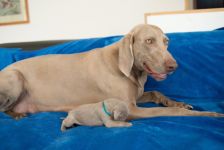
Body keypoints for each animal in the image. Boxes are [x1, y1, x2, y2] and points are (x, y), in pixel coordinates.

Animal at [0, 24, 223, 120]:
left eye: (166, 41)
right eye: (149, 41)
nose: (174, 66)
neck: (130, 70)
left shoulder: (137, 95)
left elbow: (156, 93)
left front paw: (178, 102)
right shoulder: (130, 109)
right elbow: (172, 112)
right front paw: (210, 114)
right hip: (15, 77)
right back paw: (16, 114)